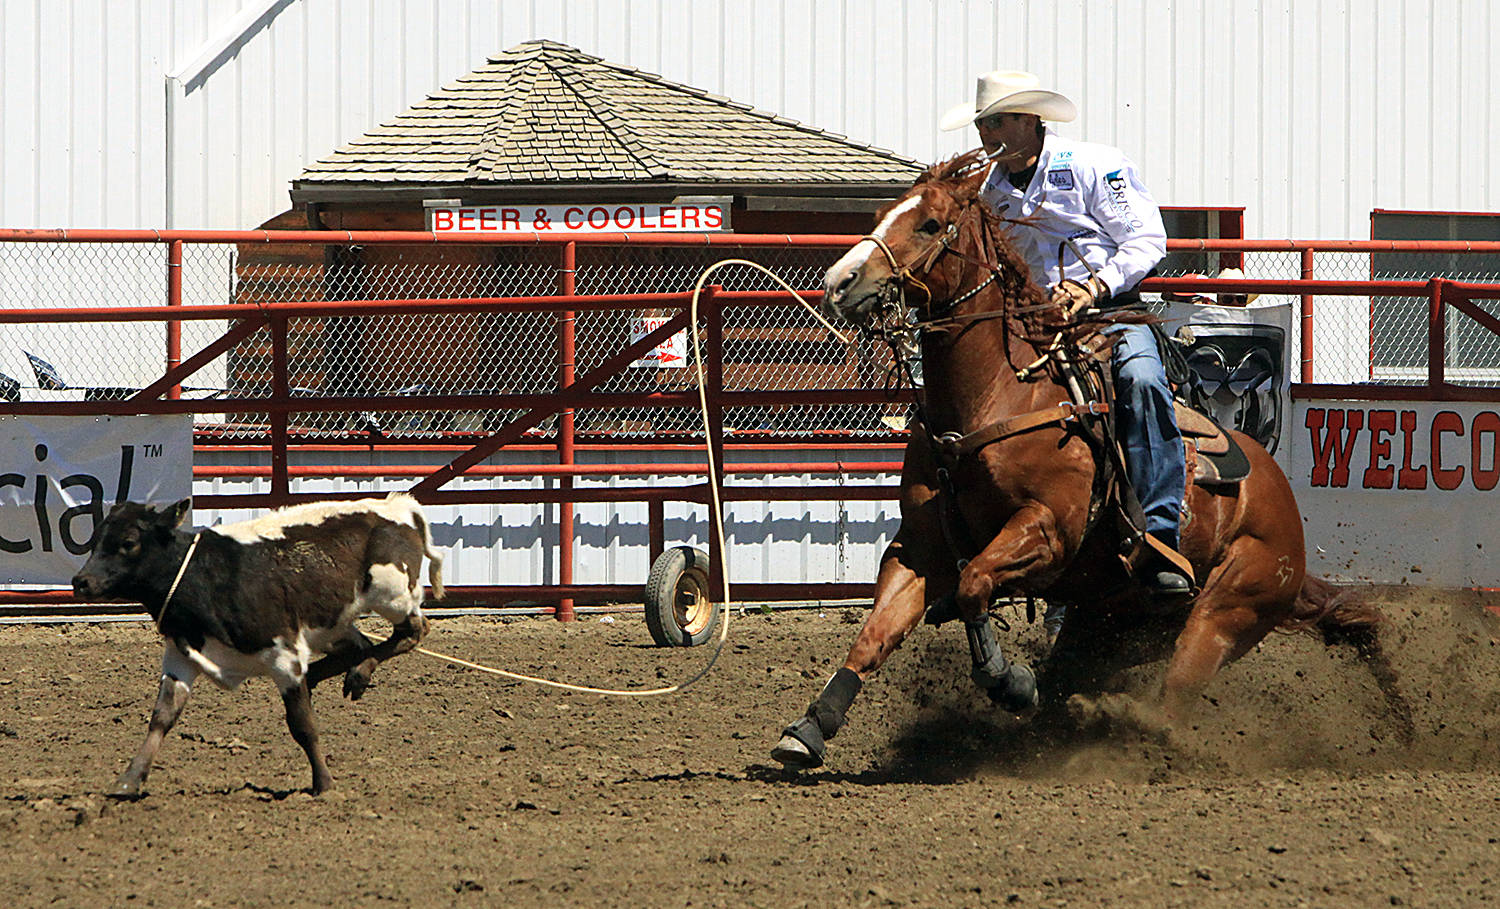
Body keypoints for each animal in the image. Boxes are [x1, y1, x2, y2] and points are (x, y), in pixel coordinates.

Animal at [71, 495, 444, 804]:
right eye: (96, 539)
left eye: (128, 542)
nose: (80, 582)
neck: (204, 574)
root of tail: (400, 506)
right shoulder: (181, 656)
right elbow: (162, 718)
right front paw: (129, 780)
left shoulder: (284, 658)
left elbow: (302, 725)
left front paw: (324, 784)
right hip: (335, 622)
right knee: (361, 645)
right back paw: (339, 673)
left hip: (392, 595)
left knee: (413, 632)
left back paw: (356, 671)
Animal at [774, 153, 1392, 774]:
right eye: (884, 212)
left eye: (930, 224)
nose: (839, 282)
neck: (1001, 394)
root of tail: (1283, 506)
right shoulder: (921, 547)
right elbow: (874, 633)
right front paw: (810, 728)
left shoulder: (1047, 530)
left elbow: (974, 585)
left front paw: (1008, 681)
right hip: (1108, 620)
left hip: (1228, 608)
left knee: (1177, 691)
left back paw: (1135, 729)